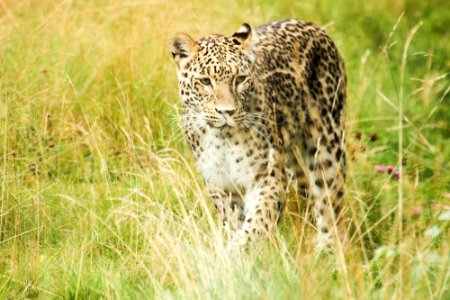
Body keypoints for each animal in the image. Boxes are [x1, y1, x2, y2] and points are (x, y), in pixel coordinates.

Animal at [169, 17, 348, 250]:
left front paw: (237, 251)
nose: (227, 112)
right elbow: (231, 221)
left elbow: (258, 221)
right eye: (205, 81)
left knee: (330, 204)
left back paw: (329, 250)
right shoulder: (219, 184)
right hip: (296, 170)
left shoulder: (267, 175)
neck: (222, 141)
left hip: (327, 147)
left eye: (240, 79)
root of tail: (311, 25)